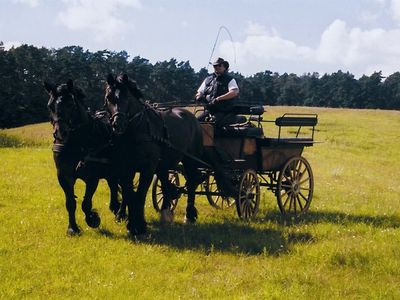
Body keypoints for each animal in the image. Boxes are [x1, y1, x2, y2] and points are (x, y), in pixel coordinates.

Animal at [44, 81, 120, 236]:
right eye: (50, 105)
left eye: (70, 104)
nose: (60, 133)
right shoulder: (64, 176)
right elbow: (70, 203)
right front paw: (72, 228)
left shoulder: (92, 177)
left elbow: (86, 203)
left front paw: (93, 218)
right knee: (114, 187)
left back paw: (119, 212)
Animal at [104, 74, 203, 236]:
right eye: (109, 97)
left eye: (127, 97)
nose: (118, 124)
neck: (137, 131)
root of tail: (191, 117)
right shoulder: (125, 168)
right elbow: (128, 194)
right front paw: (129, 222)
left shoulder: (148, 169)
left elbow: (140, 195)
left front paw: (138, 226)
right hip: (164, 164)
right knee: (166, 184)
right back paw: (166, 213)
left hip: (190, 160)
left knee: (192, 182)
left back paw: (189, 215)